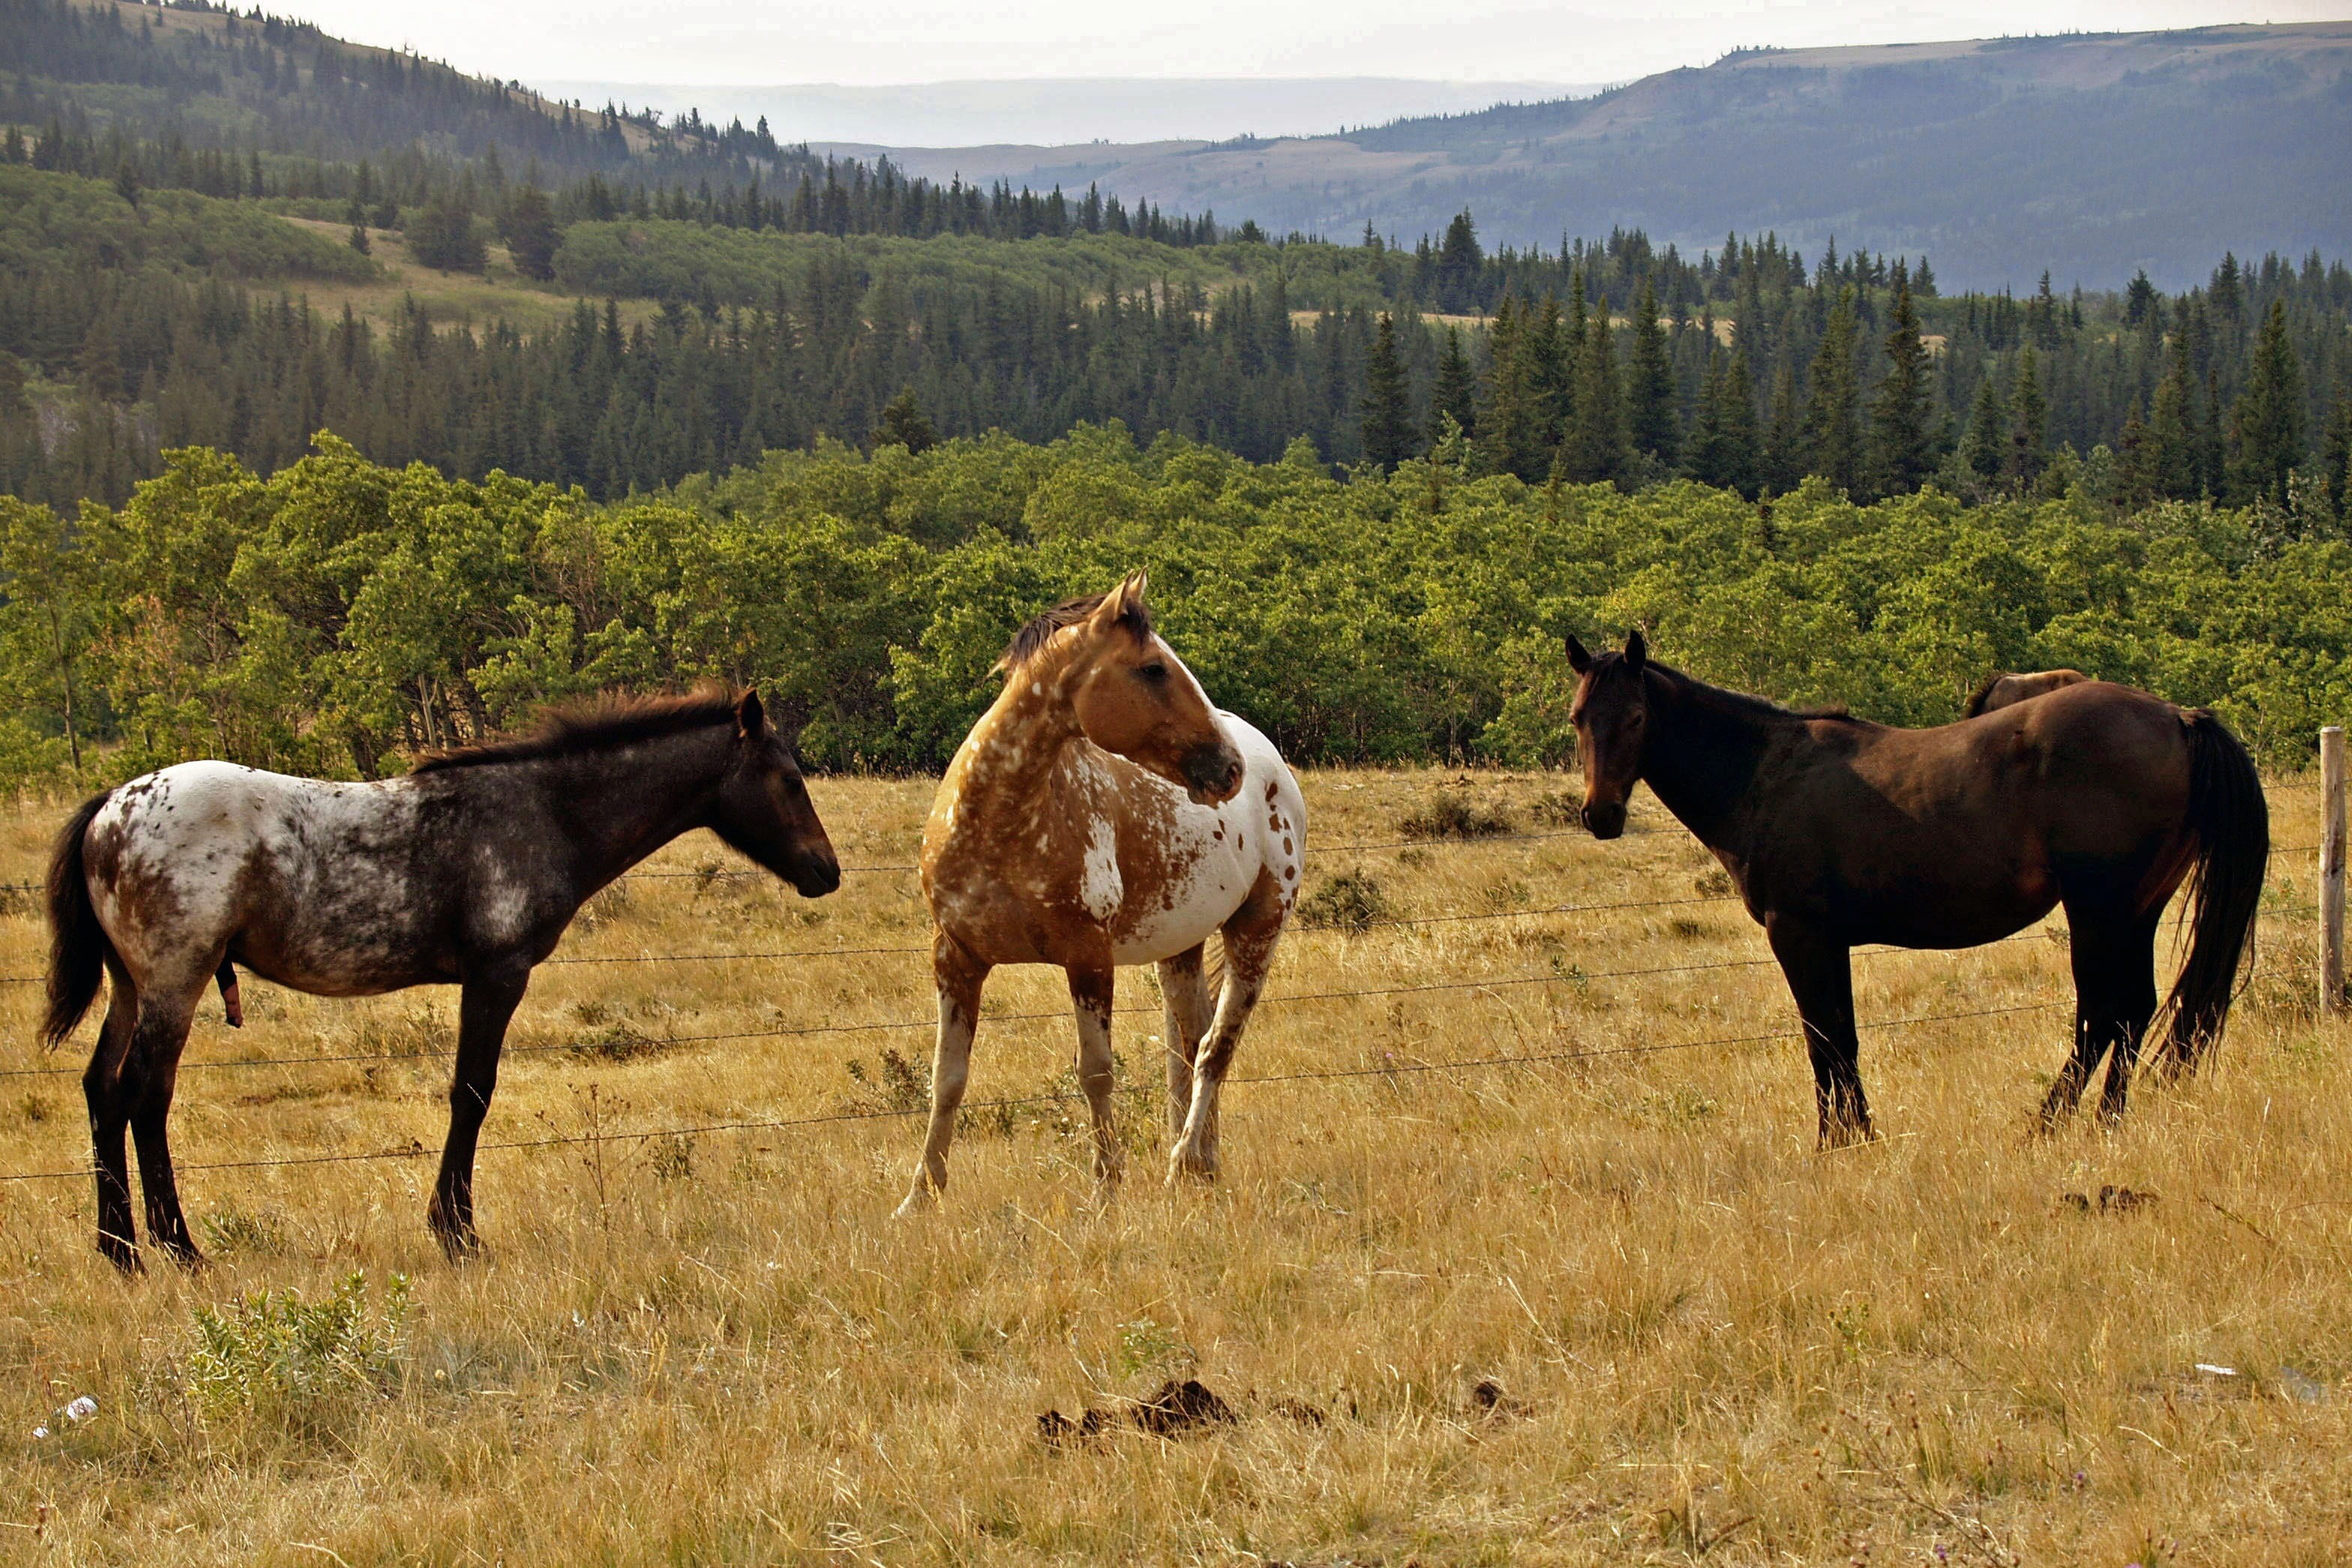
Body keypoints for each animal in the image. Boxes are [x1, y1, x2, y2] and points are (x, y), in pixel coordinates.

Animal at [43, 687, 840, 1271]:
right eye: (790, 780)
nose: (826, 871)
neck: (544, 811)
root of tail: (110, 807)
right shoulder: (496, 975)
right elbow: (472, 1093)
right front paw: (457, 1232)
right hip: (175, 983)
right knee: (145, 1094)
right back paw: (178, 1248)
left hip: (130, 987)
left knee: (102, 1090)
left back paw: (119, 1250)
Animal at [899, 573, 1305, 1213]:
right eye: (1153, 668)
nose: (1228, 767)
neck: (1002, 823)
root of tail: (1276, 769)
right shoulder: (956, 957)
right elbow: (947, 1078)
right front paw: (920, 1195)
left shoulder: (1087, 958)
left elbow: (1095, 1072)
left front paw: (1107, 1187)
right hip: (1181, 949)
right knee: (1190, 1044)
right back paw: (1201, 1167)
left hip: (1258, 932)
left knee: (1216, 1048)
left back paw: (1181, 1162)